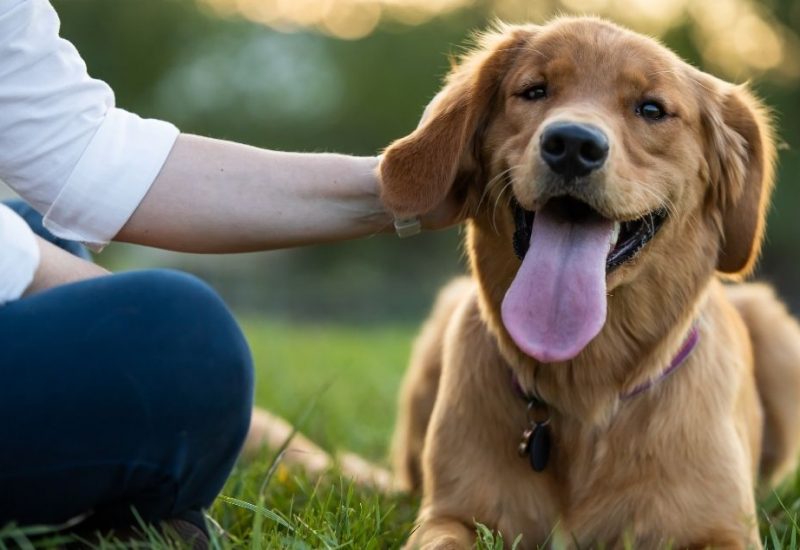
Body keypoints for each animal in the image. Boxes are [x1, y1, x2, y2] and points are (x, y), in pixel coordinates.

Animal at [378, 16, 800, 550]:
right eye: (535, 90)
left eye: (651, 109)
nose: (573, 146)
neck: (586, 387)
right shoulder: (449, 515)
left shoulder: (722, 530)